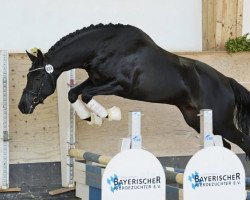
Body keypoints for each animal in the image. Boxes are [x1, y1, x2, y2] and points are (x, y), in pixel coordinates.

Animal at [18, 24, 250, 156]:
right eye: (28, 75)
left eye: (37, 77)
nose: (22, 106)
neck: (103, 48)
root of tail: (227, 81)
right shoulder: (95, 80)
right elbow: (74, 93)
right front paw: (89, 118)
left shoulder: (120, 86)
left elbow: (86, 94)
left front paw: (108, 115)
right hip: (196, 119)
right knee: (226, 145)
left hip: (221, 121)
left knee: (243, 142)